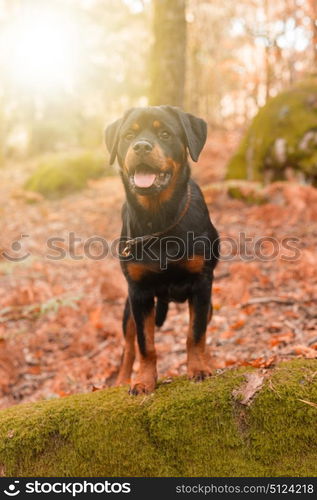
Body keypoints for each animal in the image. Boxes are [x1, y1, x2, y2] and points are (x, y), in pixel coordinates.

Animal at [105, 106, 218, 394]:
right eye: (129, 135)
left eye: (165, 134)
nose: (141, 146)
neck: (157, 220)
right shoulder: (139, 292)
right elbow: (145, 345)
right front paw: (144, 380)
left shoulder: (202, 283)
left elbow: (195, 334)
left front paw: (199, 368)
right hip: (128, 309)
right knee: (128, 347)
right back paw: (122, 379)